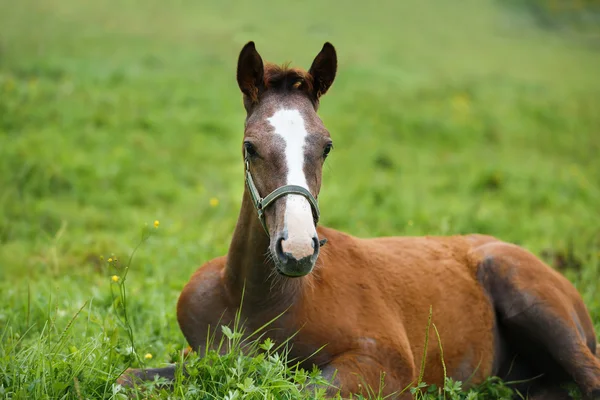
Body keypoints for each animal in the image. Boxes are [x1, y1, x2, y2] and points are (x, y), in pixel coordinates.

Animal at [118, 42, 600, 398]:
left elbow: (302, 390)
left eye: (326, 146)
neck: (256, 300)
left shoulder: (385, 362)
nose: (297, 249)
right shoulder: (199, 356)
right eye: (250, 146)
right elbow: (127, 378)